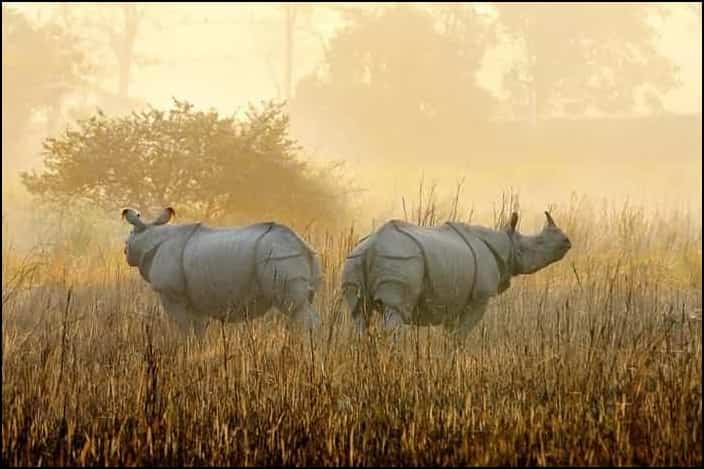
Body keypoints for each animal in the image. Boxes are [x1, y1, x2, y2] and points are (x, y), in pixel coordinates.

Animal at [122, 207, 322, 335]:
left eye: (129, 237)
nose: (124, 250)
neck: (150, 235)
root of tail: (302, 246)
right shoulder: (194, 297)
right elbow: (198, 328)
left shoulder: (171, 293)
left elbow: (184, 328)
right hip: (287, 254)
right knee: (300, 307)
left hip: (278, 256)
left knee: (296, 309)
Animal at [341, 211, 571, 338]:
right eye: (537, 243)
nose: (566, 241)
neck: (507, 244)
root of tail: (372, 247)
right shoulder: (480, 297)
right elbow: (460, 335)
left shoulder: (454, 297)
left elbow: (450, 335)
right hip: (400, 259)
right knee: (395, 312)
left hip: (354, 259)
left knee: (358, 313)